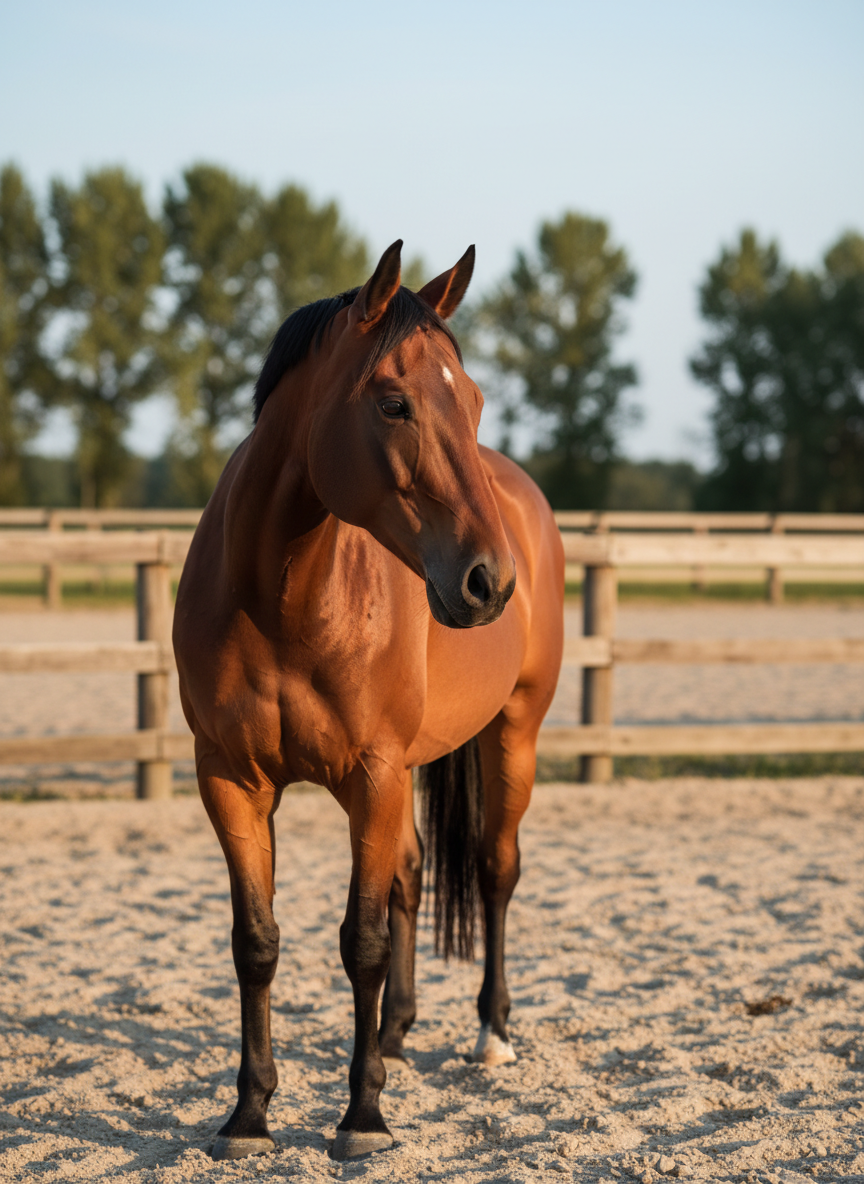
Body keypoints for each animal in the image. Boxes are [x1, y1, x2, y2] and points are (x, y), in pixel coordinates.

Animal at [172, 240, 564, 1162]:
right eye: (394, 403)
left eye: (476, 400)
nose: (489, 582)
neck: (283, 601)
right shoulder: (231, 782)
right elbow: (257, 942)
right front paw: (249, 1114)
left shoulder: (373, 775)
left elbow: (363, 941)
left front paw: (362, 1117)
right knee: (414, 874)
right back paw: (394, 1034)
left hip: (513, 733)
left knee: (494, 869)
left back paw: (491, 1034)